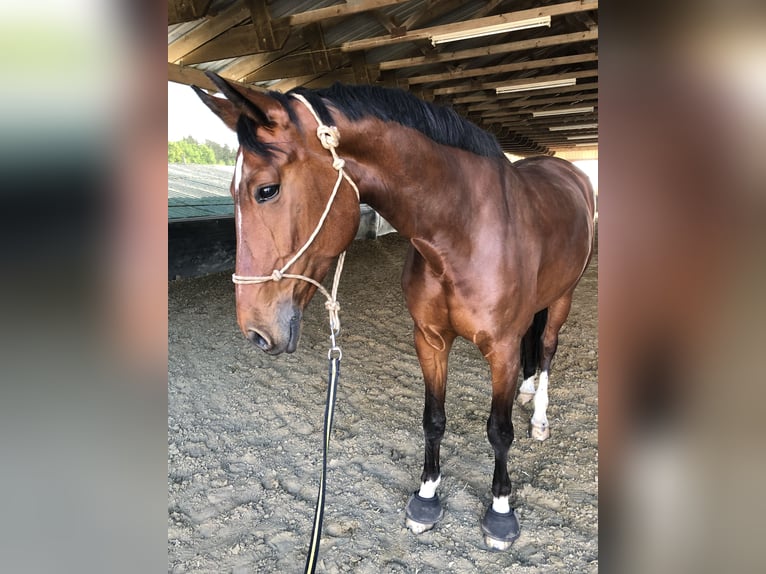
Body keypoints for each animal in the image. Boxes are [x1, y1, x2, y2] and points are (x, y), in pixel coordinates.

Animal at [194, 73, 600, 552]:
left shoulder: (501, 350)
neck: (464, 231)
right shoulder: (429, 339)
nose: (255, 331)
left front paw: (501, 512)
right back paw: (527, 388)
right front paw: (426, 497)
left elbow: (499, 431)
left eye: (267, 190)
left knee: (549, 348)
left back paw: (538, 416)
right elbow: (433, 420)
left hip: (563, 298)